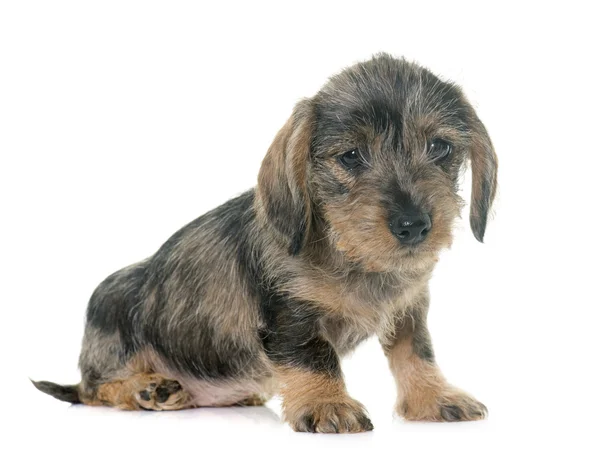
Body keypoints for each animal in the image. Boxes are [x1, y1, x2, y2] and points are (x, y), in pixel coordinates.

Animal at [35, 53, 500, 432]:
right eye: (351, 156)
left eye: (440, 147)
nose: (414, 225)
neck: (351, 256)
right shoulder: (289, 315)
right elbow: (315, 355)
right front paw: (328, 404)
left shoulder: (409, 308)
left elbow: (415, 352)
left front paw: (433, 396)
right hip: (113, 318)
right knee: (93, 389)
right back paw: (146, 389)